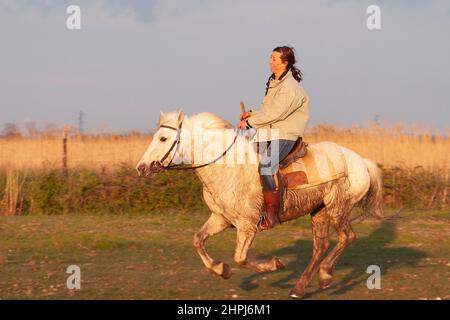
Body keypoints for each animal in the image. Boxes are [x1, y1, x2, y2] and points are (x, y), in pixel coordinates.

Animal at [137, 110, 384, 300]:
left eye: (163, 139)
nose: (141, 167)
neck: (226, 166)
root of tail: (362, 162)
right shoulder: (221, 219)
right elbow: (198, 240)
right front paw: (221, 269)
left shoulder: (247, 226)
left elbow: (240, 258)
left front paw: (274, 265)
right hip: (319, 211)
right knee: (321, 246)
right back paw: (299, 288)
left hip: (337, 208)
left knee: (347, 237)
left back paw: (325, 275)